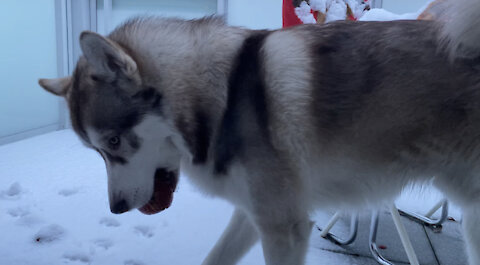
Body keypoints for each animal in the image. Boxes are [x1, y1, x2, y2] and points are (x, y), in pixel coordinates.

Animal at [39, 0, 480, 262]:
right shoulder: (253, 215)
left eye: (113, 142)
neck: (220, 100)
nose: (116, 208)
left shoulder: (284, 227)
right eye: (96, 151)